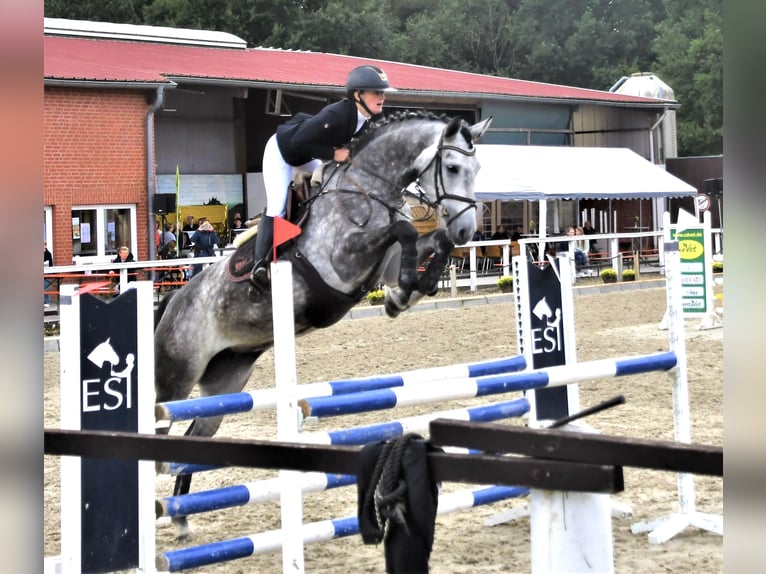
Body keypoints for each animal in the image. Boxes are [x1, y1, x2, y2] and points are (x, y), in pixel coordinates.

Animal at [154, 111, 492, 540]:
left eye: (477, 169)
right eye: (451, 167)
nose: (468, 230)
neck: (369, 186)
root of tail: (172, 302)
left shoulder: (383, 264)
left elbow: (430, 243)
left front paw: (406, 294)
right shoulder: (343, 260)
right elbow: (405, 231)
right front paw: (408, 287)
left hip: (224, 385)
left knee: (193, 441)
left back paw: (181, 520)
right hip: (175, 382)